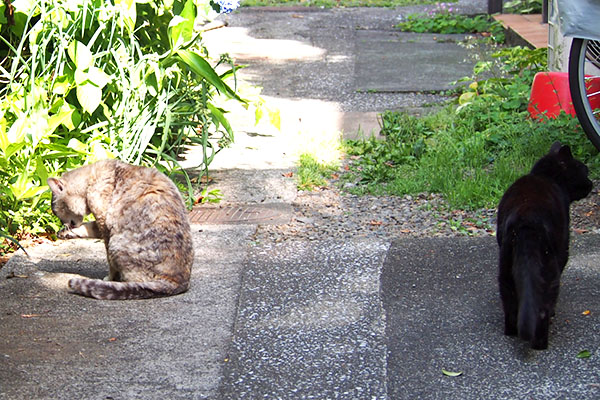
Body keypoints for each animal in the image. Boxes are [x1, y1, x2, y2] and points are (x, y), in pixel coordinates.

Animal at [496, 142, 592, 348]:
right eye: (585, 170)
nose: (591, 184)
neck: (546, 176)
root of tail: (526, 220)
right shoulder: (564, 247)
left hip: (505, 267)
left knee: (510, 302)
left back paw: (511, 332)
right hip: (549, 267)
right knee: (543, 306)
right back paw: (540, 342)